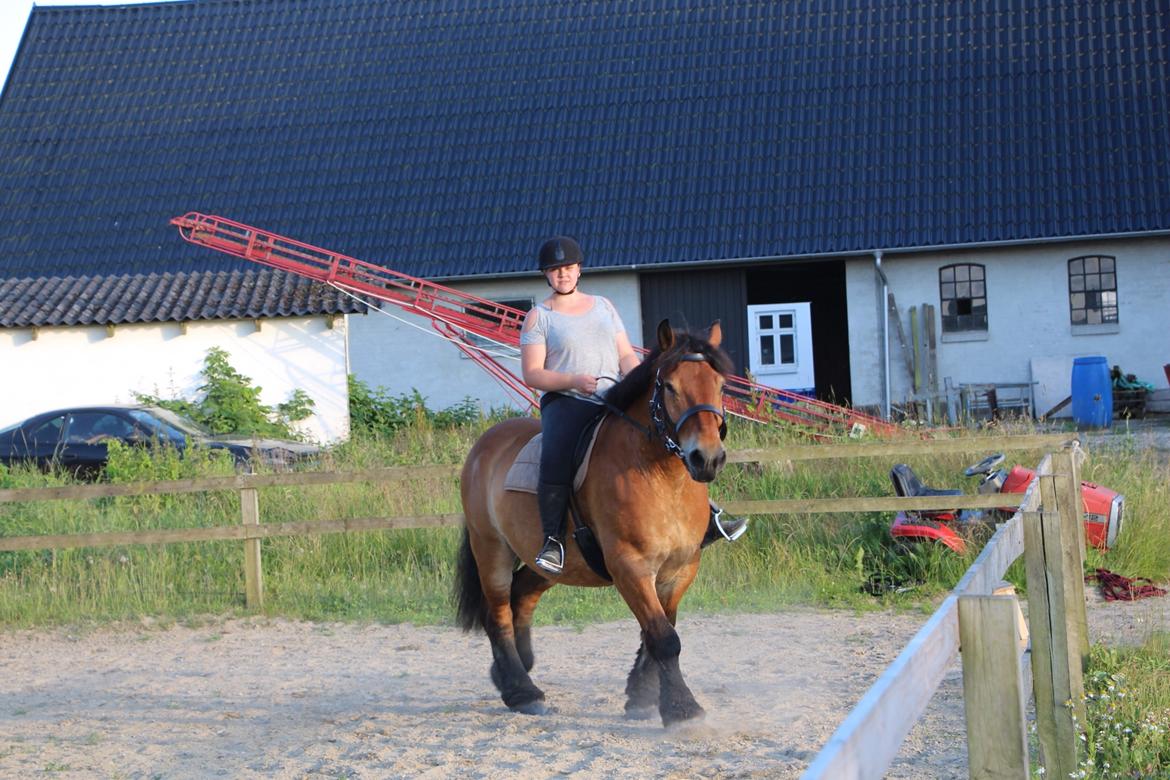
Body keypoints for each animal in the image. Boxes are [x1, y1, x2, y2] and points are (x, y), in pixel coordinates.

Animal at [453, 318, 730, 725]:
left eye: (720, 385)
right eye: (669, 386)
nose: (706, 458)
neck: (662, 478)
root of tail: (484, 445)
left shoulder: (681, 568)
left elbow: (659, 630)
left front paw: (641, 696)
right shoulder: (630, 566)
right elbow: (664, 638)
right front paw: (682, 710)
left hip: (548, 563)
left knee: (523, 595)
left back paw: (514, 669)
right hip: (491, 549)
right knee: (498, 612)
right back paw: (521, 691)